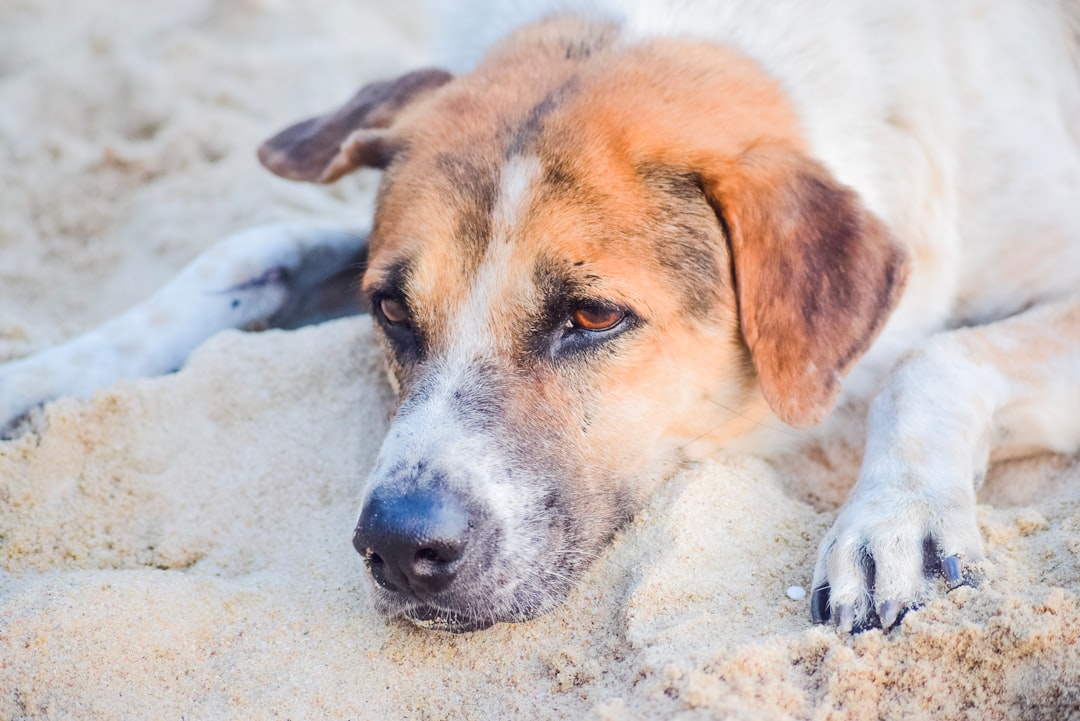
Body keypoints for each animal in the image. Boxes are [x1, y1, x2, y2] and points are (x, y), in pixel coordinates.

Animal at [2, 0, 1080, 634]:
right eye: (389, 309)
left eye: (593, 316)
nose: (398, 547)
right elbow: (245, 247)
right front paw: (36, 378)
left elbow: (932, 359)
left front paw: (892, 522)